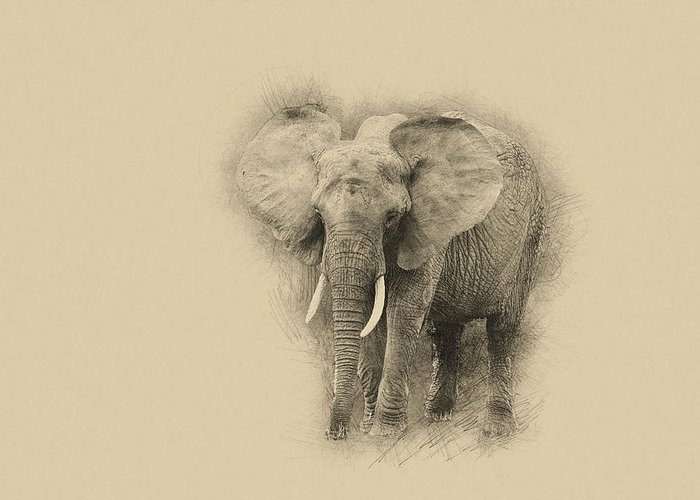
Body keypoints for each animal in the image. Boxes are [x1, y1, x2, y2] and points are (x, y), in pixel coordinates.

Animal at [235, 103, 546, 440]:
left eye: (391, 218)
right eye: (318, 213)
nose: (334, 435)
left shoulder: (426, 231)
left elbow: (405, 311)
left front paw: (384, 434)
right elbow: (370, 316)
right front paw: (369, 427)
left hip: (529, 237)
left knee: (502, 329)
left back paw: (496, 429)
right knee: (445, 329)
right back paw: (437, 415)